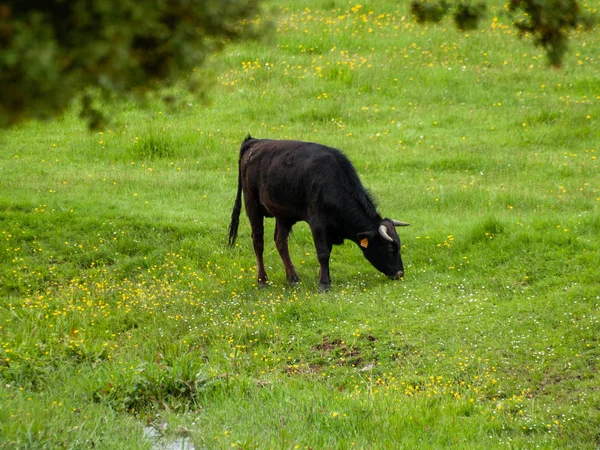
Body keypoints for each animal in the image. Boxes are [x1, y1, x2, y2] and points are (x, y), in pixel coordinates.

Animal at [227, 135, 410, 290]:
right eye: (390, 247)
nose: (400, 273)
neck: (333, 182)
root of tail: (255, 142)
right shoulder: (317, 223)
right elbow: (323, 253)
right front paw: (324, 284)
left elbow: (327, 251)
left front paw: (326, 278)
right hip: (252, 205)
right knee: (258, 242)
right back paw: (262, 280)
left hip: (283, 214)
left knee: (280, 242)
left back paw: (293, 278)